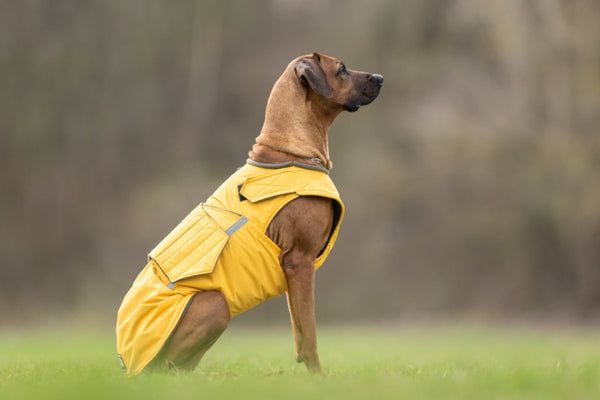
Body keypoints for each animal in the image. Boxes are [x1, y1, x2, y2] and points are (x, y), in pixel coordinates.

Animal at [115, 53, 382, 376]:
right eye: (341, 68)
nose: (381, 78)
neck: (290, 153)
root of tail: (125, 358)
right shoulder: (300, 260)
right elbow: (310, 332)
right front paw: (318, 377)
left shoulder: (293, 271)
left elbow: (299, 329)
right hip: (215, 304)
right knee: (165, 368)